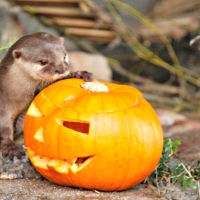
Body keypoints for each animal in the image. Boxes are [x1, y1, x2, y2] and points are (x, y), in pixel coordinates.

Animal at [0, 31, 92, 159]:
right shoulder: (4, 102)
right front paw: (11, 147)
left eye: (64, 56)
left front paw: (79, 74)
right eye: (43, 62)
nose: (61, 69)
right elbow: (4, 127)